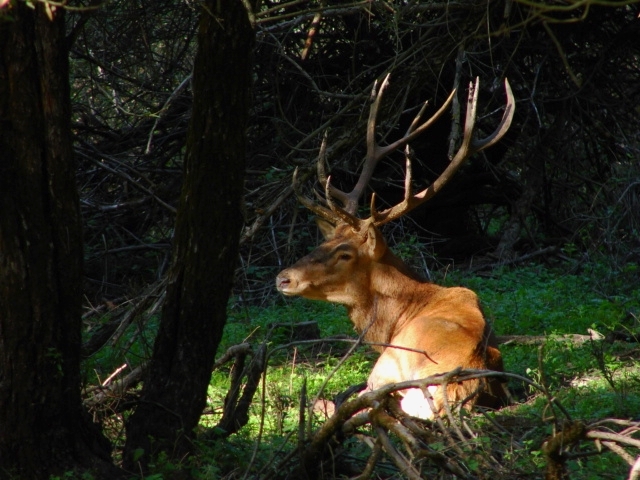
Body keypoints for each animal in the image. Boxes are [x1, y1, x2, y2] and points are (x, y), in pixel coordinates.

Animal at [276, 73, 516, 418]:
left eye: (345, 253)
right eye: (326, 240)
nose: (283, 278)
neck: (394, 321)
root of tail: (457, 385)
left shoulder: (384, 365)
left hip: (390, 371)